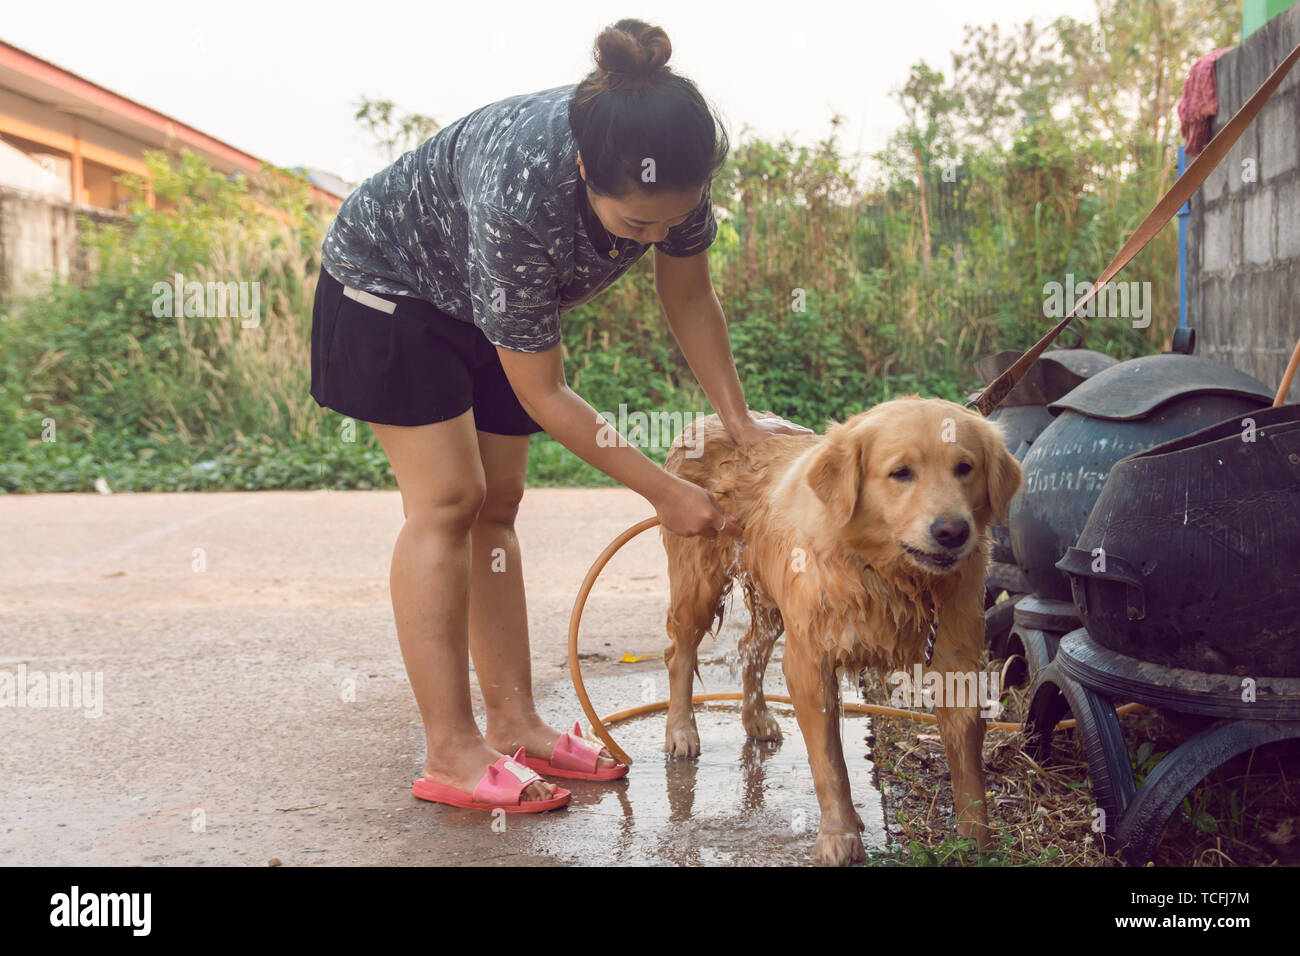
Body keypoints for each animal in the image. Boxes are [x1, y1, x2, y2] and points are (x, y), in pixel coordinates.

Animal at [665, 395, 1019, 868]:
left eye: (965, 467)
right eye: (901, 472)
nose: (953, 531)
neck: (885, 575)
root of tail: (703, 420)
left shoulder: (957, 659)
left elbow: (967, 768)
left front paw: (977, 843)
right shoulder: (809, 662)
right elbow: (830, 764)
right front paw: (839, 835)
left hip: (775, 604)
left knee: (749, 646)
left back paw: (756, 718)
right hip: (699, 582)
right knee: (680, 654)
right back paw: (681, 731)